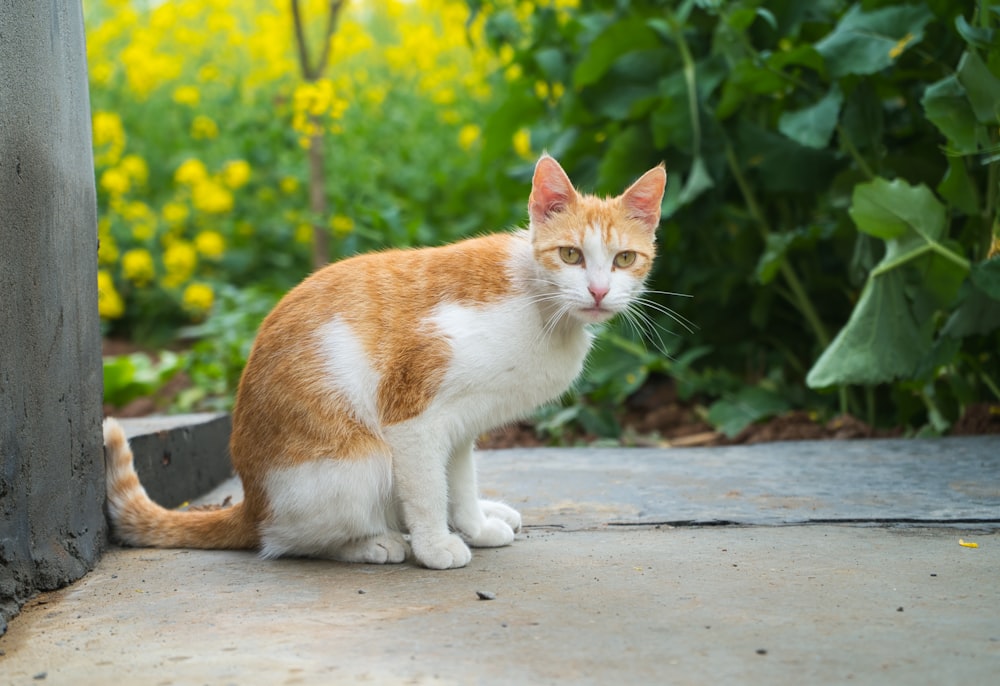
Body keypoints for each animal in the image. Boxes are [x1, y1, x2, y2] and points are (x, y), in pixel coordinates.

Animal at [103, 155, 664, 568]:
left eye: (624, 260)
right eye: (570, 255)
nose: (598, 291)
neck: (541, 306)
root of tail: (250, 500)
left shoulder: (460, 425)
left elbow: (458, 481)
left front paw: (474, 525)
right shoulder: (413, 417)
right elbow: (428, 490)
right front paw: (436, 546)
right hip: (362, 461)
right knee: (283, 540)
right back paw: (372, 543)